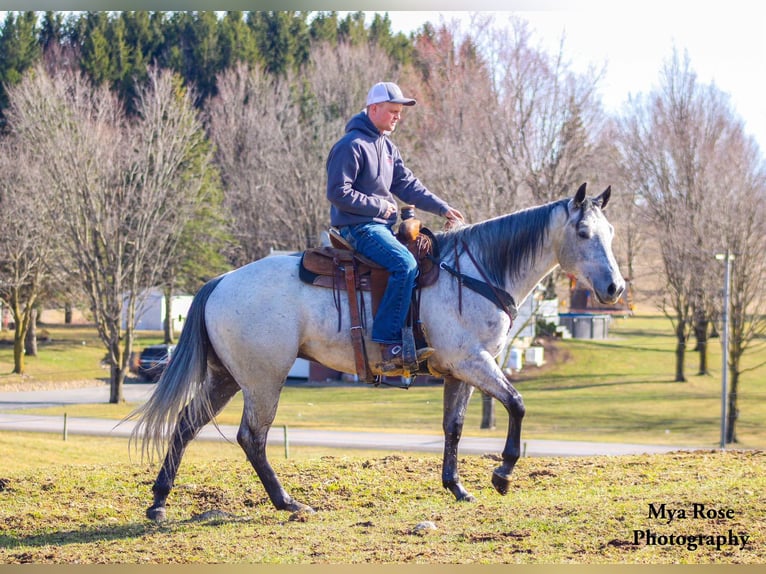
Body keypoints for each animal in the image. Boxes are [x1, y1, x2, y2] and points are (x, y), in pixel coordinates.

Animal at [130, 184, 624, 520]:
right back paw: (288, 502)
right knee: (252, 437)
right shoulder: (474, 362)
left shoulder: (460, 372)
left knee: (186, 424)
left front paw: (456, 487)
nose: (615, 288)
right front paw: (502, 474)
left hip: (227, 376)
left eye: (611, 232)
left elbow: (454, 427)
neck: (475, 273)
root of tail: (221, 281)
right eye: (583, 232)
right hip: (262, 379)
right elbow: (518, 404)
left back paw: (159, 502)